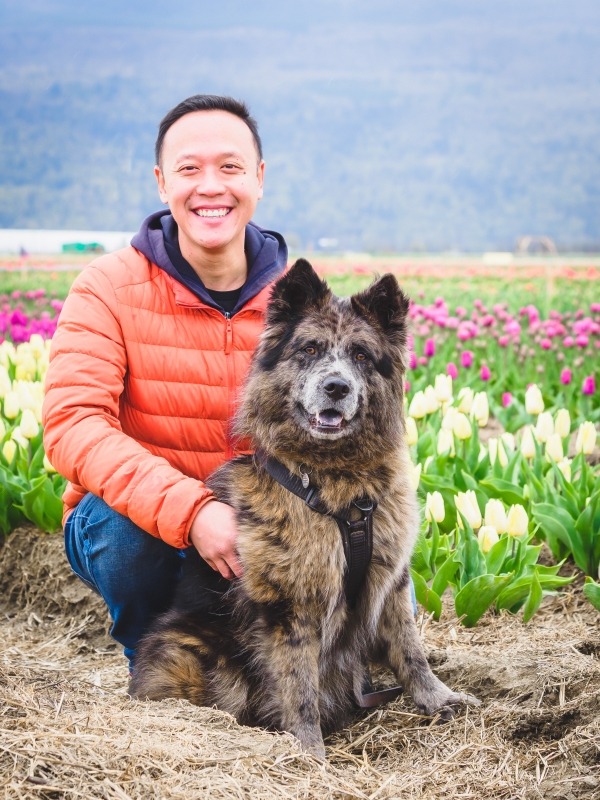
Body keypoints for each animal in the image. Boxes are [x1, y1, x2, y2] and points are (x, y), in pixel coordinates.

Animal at [130, 260, 478, 756]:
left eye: (361, 356)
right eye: (310, 349)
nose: (336, 387)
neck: (338, 484)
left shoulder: (390, 580)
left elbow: (411, 652)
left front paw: (438, 699)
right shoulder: (290, 606)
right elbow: (299, 685)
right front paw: (307, 752)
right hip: (191, 652)